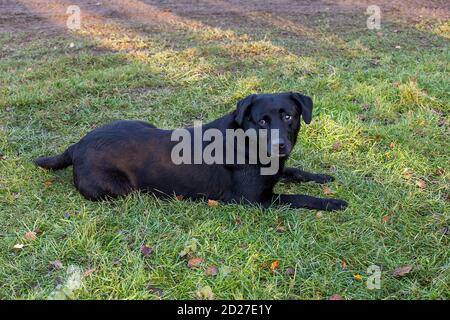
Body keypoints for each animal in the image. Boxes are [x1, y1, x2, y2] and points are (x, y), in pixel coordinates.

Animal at [35, 92, 348, 211]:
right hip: (120, 189)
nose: (279, 145)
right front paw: (331, 202)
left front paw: (322, 177)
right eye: (262, 121)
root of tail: (77, 145)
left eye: (288, 117)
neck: (248, 142)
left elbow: (294, 172)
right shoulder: (255, 200)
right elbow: (298, 197)